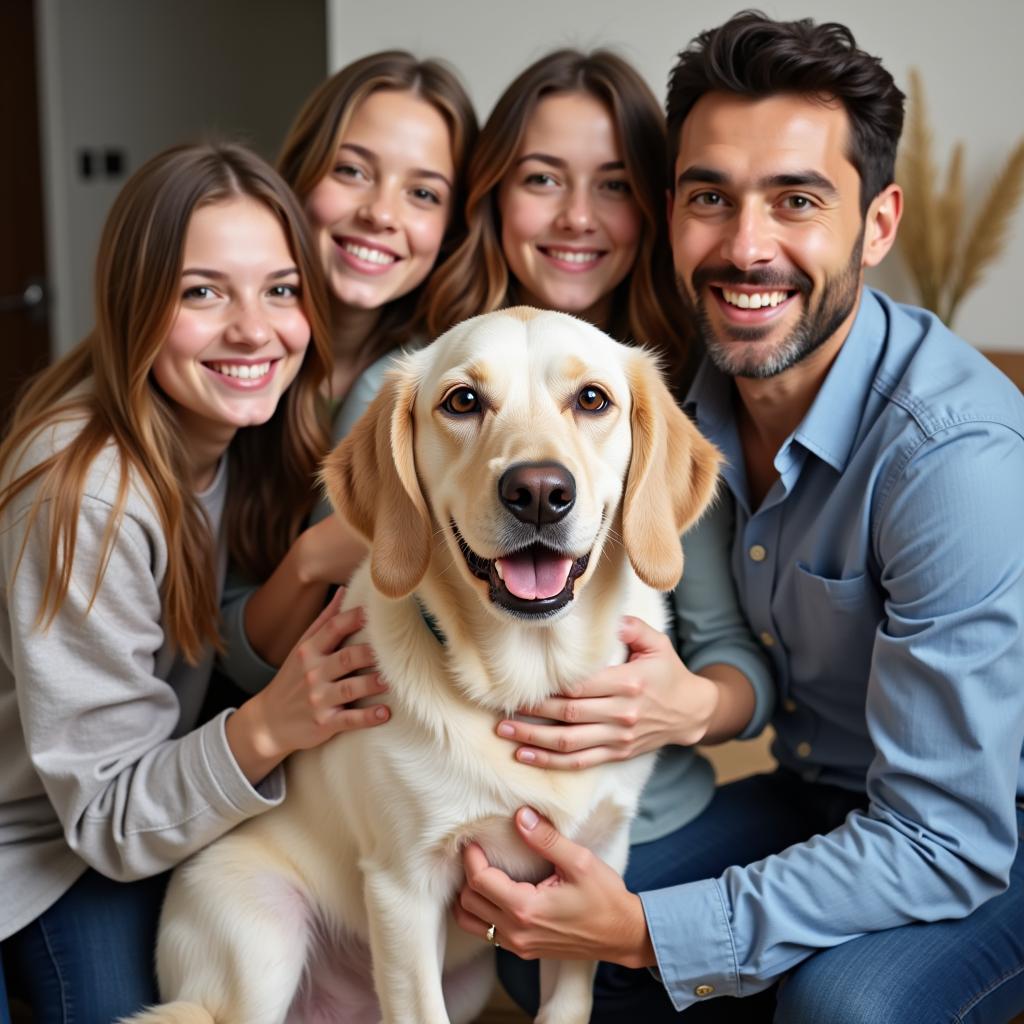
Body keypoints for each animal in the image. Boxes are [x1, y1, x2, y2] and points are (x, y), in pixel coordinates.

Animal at [130, 309, 720, 1024]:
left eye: (592, 399)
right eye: (462, 401)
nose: (539, 492)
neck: (527, 679)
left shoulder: (594, 865)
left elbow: (567, 1001)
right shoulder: (403, 887)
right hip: (258, 939)